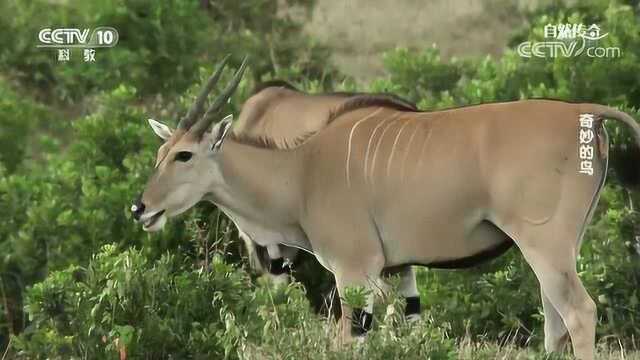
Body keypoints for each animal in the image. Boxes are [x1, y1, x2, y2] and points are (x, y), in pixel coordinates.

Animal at [131, 57, 640, 358]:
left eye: (184, 155)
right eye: (160, 153)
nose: (140, 208)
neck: (301, 171)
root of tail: (586, 114)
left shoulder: (354, 273)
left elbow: (347, 339)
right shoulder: (395, 271)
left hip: (545, 246)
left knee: (578, 312)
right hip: (557, 250)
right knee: (555, 322)